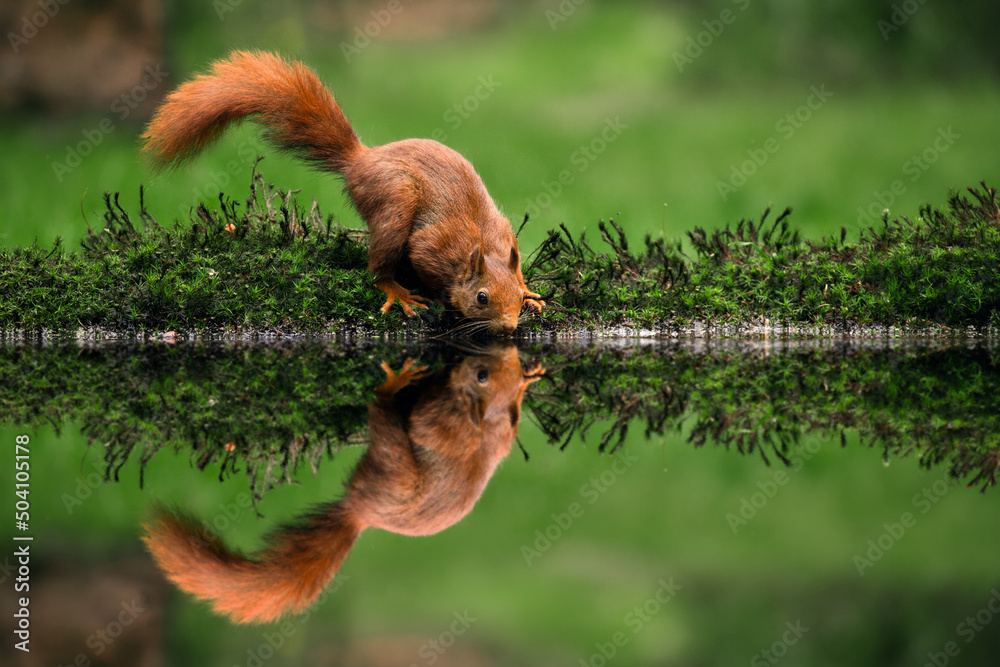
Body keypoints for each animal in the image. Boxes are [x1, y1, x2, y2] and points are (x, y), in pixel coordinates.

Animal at [141, 50, 544, 334]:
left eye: (512, 292)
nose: (508, 327)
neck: (479, 245)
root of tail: (359, 160)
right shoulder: (433, 248)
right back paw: (397, 291)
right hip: (395, 203)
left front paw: (531, 294)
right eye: (481, 297)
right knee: (378, 266)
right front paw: (444, 301)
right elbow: (423, 263)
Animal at [142, 344, 544, 624]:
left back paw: (391, 388)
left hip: (396, 467)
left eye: (481, 376)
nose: (477, 362)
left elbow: (423, 424)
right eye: (498, 370)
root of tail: (360, 514)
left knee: (384, 417)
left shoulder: (447, 424)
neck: (487, 423)